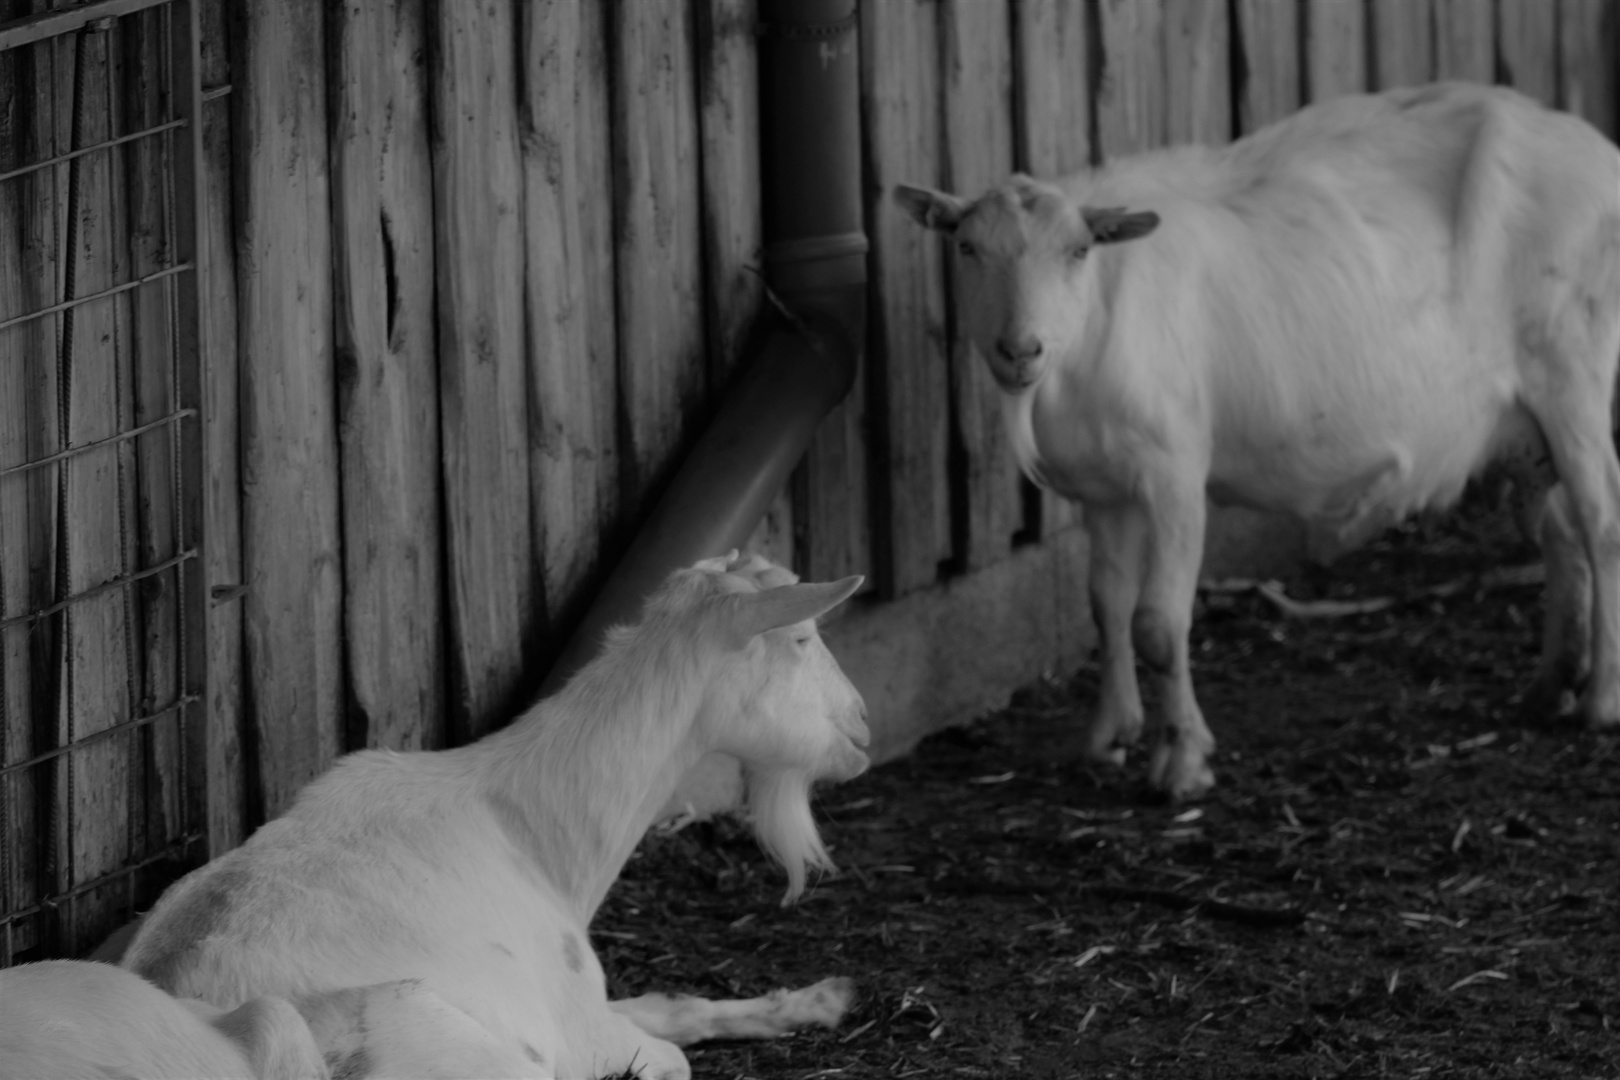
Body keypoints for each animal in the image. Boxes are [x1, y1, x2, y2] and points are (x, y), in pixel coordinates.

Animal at [121, 553, 874, 1075]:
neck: (528, 829)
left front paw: (819, 999)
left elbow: (672, 1006)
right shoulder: (576, 1029)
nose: (864, 727)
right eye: (801, 638)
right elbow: (670, 1057)